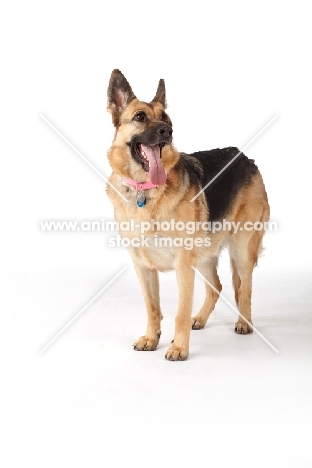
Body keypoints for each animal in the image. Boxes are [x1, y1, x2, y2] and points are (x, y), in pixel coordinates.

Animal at [106, 69, 270, 360]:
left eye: (166, 118)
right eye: (140, 117)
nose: (167, 131)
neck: (146, 191)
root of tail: (244, 156)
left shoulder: (183, 265)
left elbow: (180, 312)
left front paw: (179, 348)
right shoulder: (142, 266)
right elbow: (153, 308)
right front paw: (152, 339)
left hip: (242, 249)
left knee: (245, 289)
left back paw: (244, 323)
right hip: (204, 255)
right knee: (217, 287)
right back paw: (201, 319)